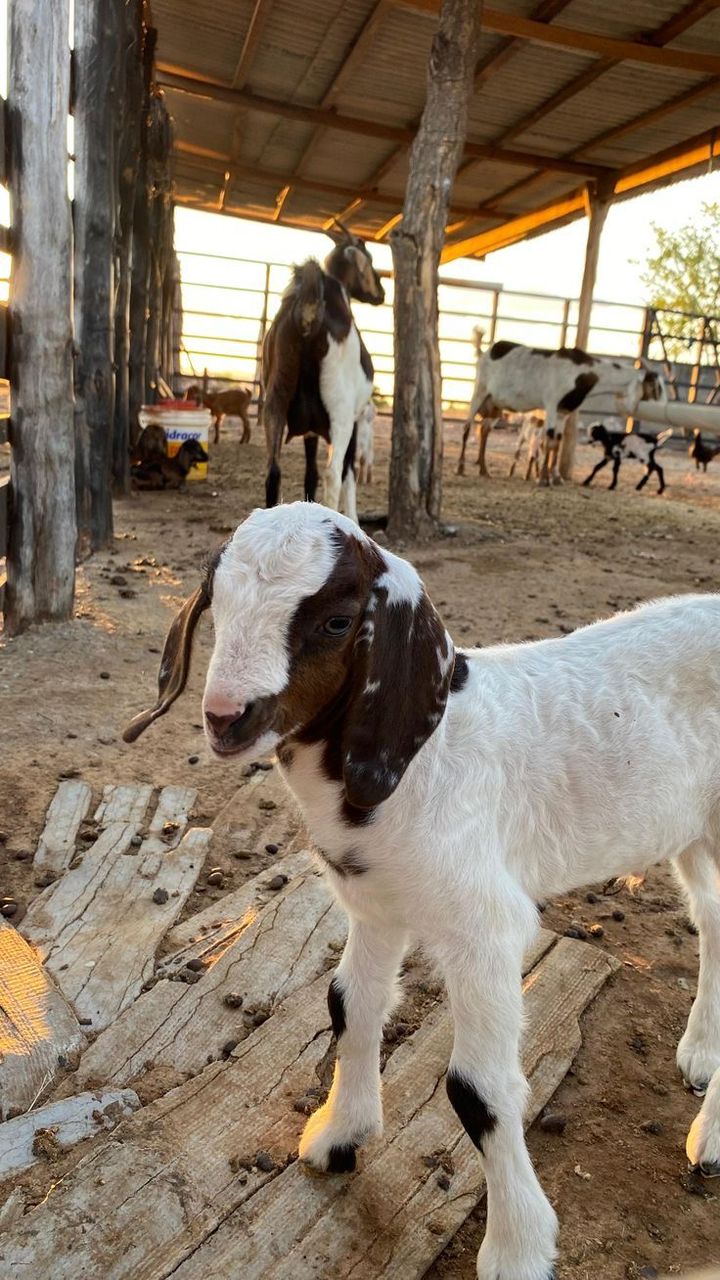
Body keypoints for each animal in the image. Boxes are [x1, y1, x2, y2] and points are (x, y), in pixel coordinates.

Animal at [125, 500, 720, 1280]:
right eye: (216, 598)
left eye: (337, 621)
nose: (227, 717)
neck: (420, 757)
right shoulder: (376, 904)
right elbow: (348, 1006)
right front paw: (340, 1136)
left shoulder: (485, 927)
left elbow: (477, 1090)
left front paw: (518, 1247)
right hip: (696, 831)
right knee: (713, 921)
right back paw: (703, 1054)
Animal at [262, 221, 384, 522]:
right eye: (370, 258)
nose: (382, 293)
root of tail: (308, 315)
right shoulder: (353, 419)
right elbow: (348, 473)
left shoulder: (310, 430)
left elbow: (310, 474)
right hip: (340, 413)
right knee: (333, 473)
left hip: (275, 401)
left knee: (273, 471)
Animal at [458, 328, 666, 484]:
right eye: (657, 386)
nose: (663, 407)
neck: (585, 373)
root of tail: (487, 351)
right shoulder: (551, 405)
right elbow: (549, 440)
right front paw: (543, 478)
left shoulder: (563, 412)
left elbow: (557, 442)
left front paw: (555, 477)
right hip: (479, 392)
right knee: (467, 428)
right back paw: (461, 468)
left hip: (495, 406)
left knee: (484, 431)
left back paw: (484, 470)